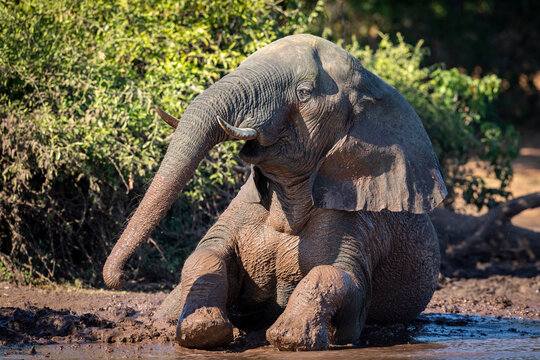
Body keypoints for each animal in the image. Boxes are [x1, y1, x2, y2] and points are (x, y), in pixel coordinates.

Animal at [102, 34, 448, 352]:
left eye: (304, 92)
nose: (122, 277)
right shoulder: (245, 205)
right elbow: (208, 254)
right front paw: (202, 331)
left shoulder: (360, 221)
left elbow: (343, 278)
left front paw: (291, 338)